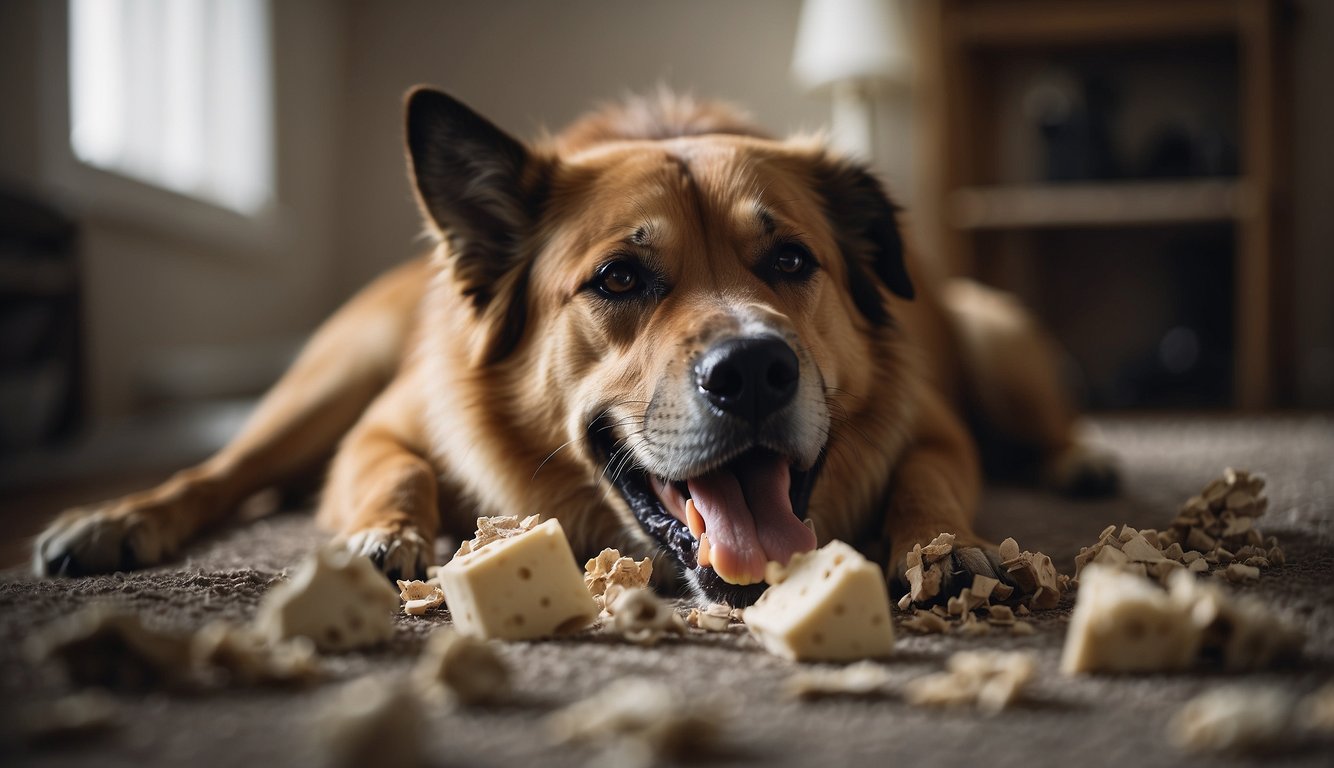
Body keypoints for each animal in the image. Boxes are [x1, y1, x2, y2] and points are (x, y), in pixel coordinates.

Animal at [33, 88, 1115, 605]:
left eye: (790, 260)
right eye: (620, 280)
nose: (755, 372)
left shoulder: (934, 425)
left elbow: (925, 478)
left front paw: (945, 547)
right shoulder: (381, 427)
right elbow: (397, 471)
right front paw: (383, 538)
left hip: (995, 333)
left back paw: (1081, 458)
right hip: (328, 381)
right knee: (225, 470)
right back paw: (115, 521)